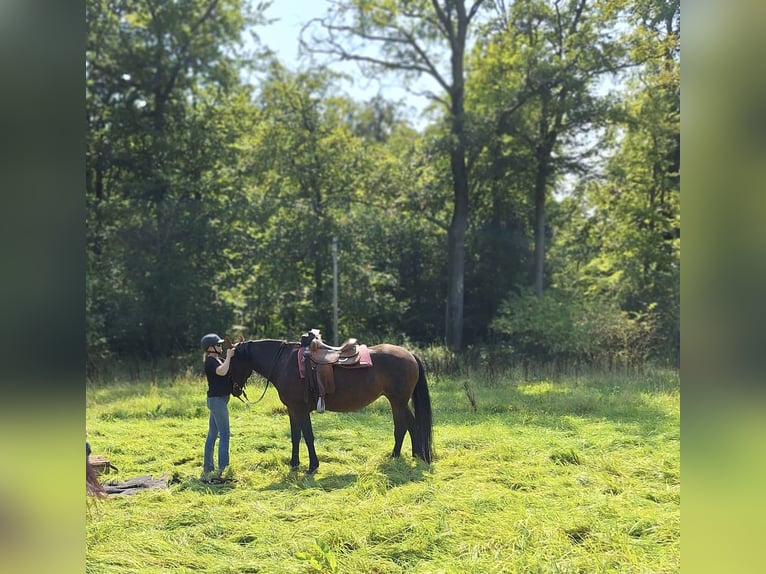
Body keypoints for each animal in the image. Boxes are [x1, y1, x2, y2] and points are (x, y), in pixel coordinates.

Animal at [226, 340, 432, 474]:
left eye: (232, 361)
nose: (234, 389)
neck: (284, 363)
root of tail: (409, 354)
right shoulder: (292, 410)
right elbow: (295, 437)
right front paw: (294, 463)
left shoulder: (300, 410)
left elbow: (308, 436)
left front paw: (312, 466)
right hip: (398, 402)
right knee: (408, 426)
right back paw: (408, 456)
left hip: (398, 401)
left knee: (405, 426)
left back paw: (409, 456)